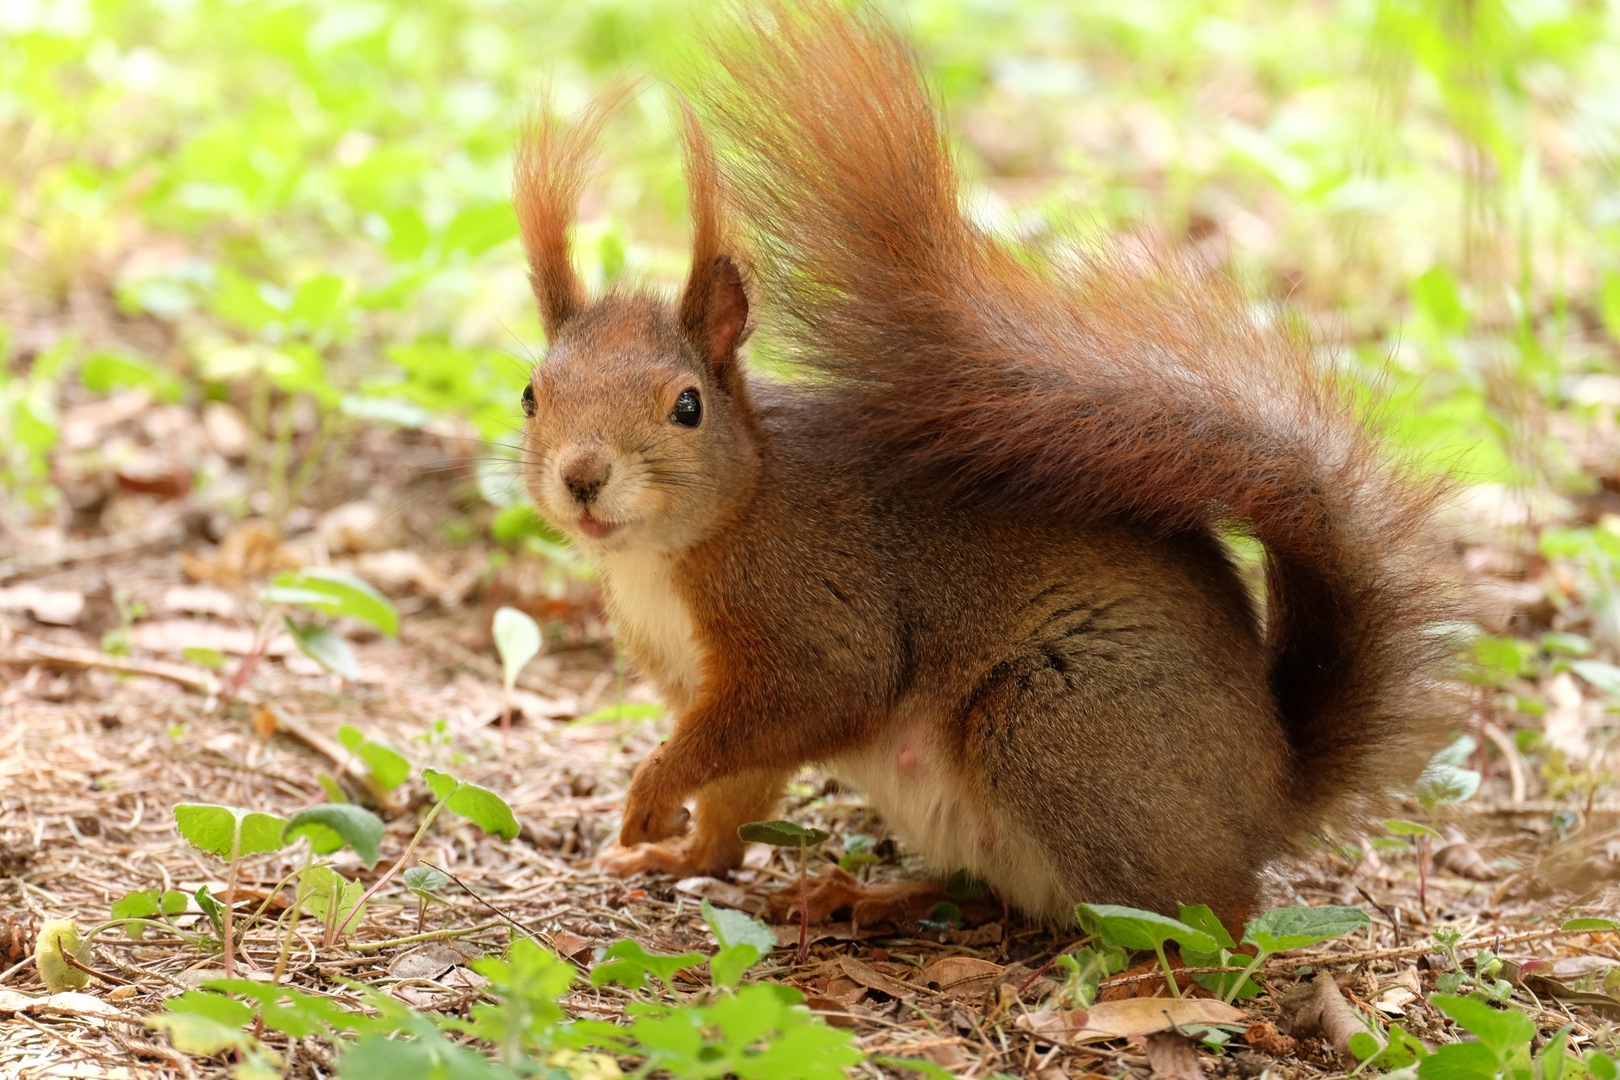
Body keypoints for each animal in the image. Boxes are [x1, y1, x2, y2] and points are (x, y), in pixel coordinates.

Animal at [515, 2, 1458, 932]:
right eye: (530, 393)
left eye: (687, 407)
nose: (583, 475)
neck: (693, 536)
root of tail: (1269, 797)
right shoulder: (692, 675)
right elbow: (736, 796)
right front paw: (681, 851)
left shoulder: (811, 617)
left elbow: (806, 702)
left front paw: (649, 795)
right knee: (996, 894)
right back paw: (865, 897)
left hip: (1053, 728)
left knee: (1192, 918)